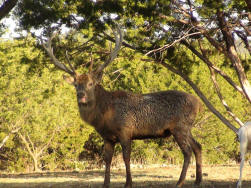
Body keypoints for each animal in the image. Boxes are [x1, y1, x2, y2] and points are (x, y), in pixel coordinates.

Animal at [40, 26, 203, 188]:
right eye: (75, 85)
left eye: (91, 84)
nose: (81, 95)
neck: (105, 115)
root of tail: (198, 103)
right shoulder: (107, 137)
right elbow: (107, 159)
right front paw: (106, 184)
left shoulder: (125, 130)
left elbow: (126, 157)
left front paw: (128, 183)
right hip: (186, 128)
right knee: (198, 146)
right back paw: (197, 180)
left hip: (180, 127)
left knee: (187, 151)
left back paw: (180, 182)